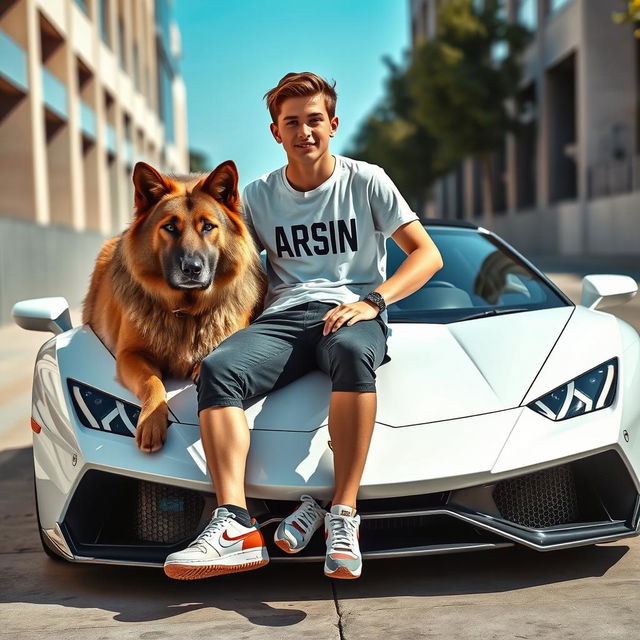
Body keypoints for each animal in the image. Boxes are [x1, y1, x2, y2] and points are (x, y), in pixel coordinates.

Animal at [83, 161, 268, 456]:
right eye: (170, 227)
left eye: (208, 226)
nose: (192, 269)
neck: (186, 310)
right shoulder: (129, 356)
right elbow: (153, 382)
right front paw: (150, 422)